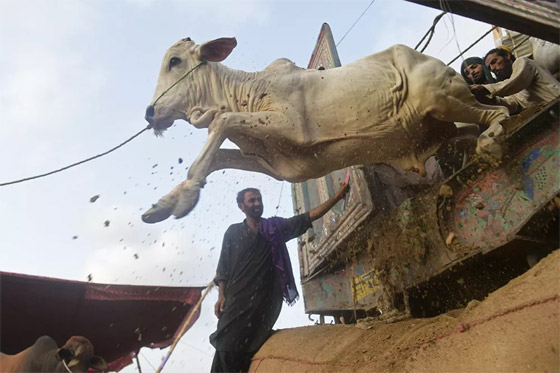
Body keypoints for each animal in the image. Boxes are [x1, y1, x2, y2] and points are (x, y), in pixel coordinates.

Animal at [141, 36, 508, 222]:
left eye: (175, 61)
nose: (150, 112)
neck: (244, 93)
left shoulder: (292, 124)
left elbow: (219, 123)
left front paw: (187, 197)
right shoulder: (277, 165)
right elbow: (218, 157)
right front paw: (163, 205)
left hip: (441, 98)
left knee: (500, 112)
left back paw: (492, 141)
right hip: (446, 126)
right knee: (474, 128)